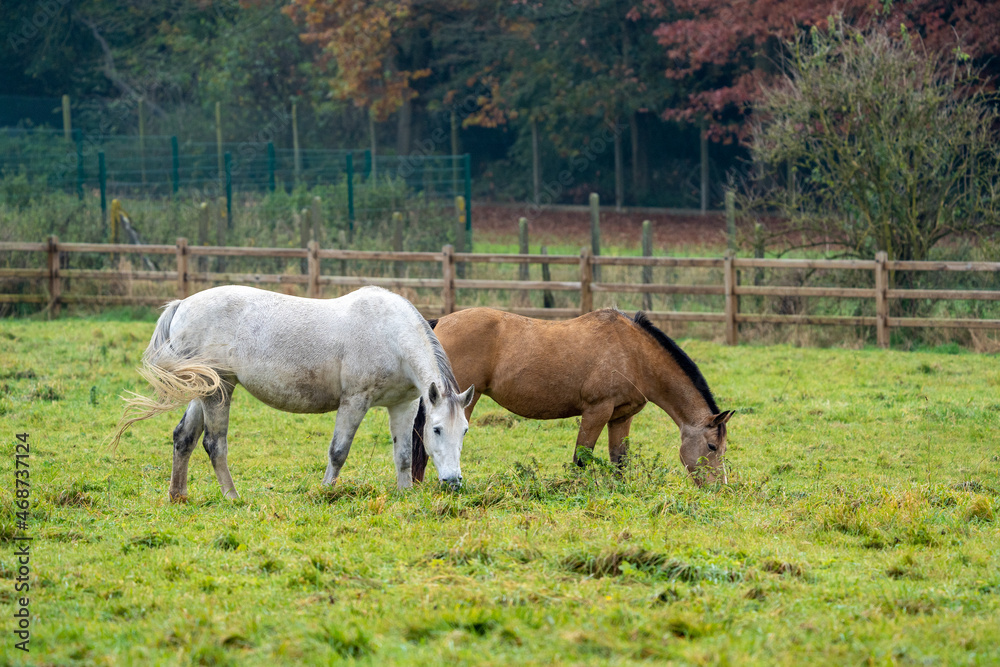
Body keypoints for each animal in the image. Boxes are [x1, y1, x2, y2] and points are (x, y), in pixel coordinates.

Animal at [115, 288, 474, 500]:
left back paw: (178, 496)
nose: (453, 481)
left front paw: (404, 495)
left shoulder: (403, 404)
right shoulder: (354, 401)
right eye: (437, 429)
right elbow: (338, 451)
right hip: (220, 390)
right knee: (214, 444)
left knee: (184, 438)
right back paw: (232, 496)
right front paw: (326, 492)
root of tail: (182, 305)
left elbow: (402, 455)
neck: (390, 333)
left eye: (464, 431)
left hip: (205, 388)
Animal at [414, 308, 736, 486]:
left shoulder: (621, 417)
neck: (633, 354)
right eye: (711, 446)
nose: (718, 487)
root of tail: (438, 323)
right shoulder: (596, 412)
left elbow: (620, 459)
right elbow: (581, 457)